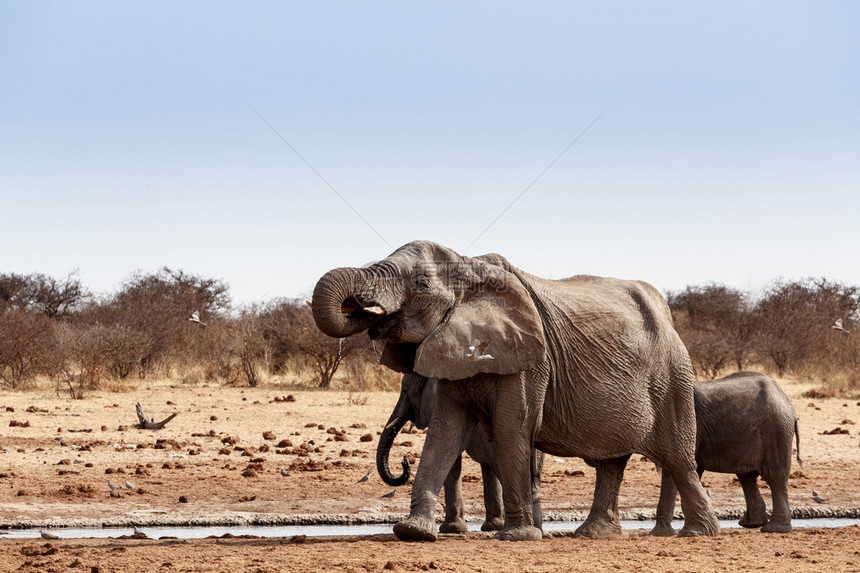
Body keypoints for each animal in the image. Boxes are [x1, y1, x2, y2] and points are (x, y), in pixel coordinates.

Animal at [378, 374, 544, 536]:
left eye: (405, 391)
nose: (404, 462)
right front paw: (490, 526)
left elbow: (453, 462)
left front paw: (451, 529)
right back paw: (535, 530)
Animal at [656, 370, 804, 536]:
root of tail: (788, 402)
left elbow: (675, 466)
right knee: (747, 476)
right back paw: (752, 524)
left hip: (776, 430)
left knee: (775, 477)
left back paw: (773, 529)